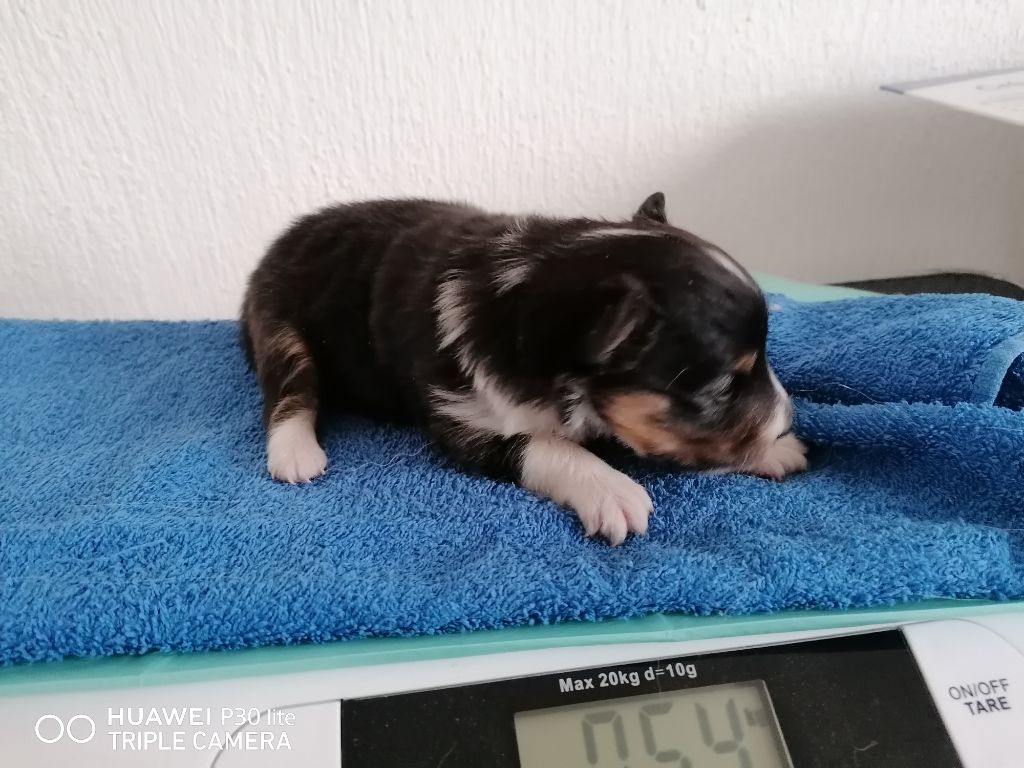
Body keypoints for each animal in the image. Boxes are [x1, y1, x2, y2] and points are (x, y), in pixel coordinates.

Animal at [241, 192, 806, 544]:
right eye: (723, 387)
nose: (788, 417)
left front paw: (776, 450)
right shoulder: (460, 417)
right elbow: (544, 444)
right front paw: (614, 492)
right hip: (280, 325)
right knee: (289, 392)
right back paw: (296, 455)